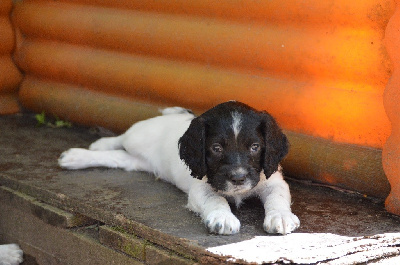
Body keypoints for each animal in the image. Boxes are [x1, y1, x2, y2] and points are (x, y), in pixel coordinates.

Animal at [57, 101, 298, 233]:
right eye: (216, 148)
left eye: (255, 147)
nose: (238, 179)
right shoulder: (200, 188)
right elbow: (216, 199)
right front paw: (222, 217)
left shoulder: (273, 180)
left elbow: (277, 198)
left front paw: (280, 217)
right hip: (138, 136)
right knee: (121, 138)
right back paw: (92, 146)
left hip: (138, 161)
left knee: (118, 157)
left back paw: (78, 157)